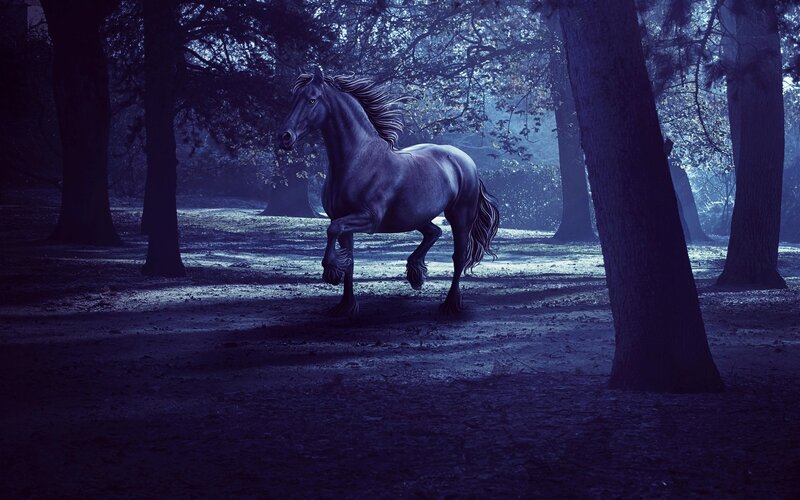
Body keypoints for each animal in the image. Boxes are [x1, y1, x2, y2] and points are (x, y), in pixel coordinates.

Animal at [278, 67, 499, 317]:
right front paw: (345, 306)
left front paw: (332, 272)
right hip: (415, 215)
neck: (358, 160)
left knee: (458, 256)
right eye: (294, 98)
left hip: (459, 216)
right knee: (434, 232)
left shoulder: (369, 219)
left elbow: (332, 231)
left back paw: (450, 304)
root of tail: (466, 161)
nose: (284, 137)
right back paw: (415, 274)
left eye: (312, 99)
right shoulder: (342, 219)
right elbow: (349, 258)